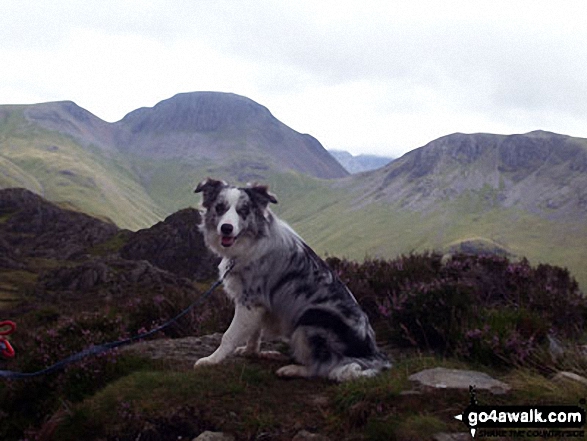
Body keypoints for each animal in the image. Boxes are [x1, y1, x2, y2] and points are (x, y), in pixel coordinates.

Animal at [194, 177, 390, 380]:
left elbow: (229, 336)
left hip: (311, 319)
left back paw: (292, 369)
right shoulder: (258, 304)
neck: (251, 241)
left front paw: (211, 360)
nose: (226, 228)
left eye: (243, 211)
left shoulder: (249, 301)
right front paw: (250, 352)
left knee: (322, 368)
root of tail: (374, 356)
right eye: (220, 208)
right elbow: (255, 333)